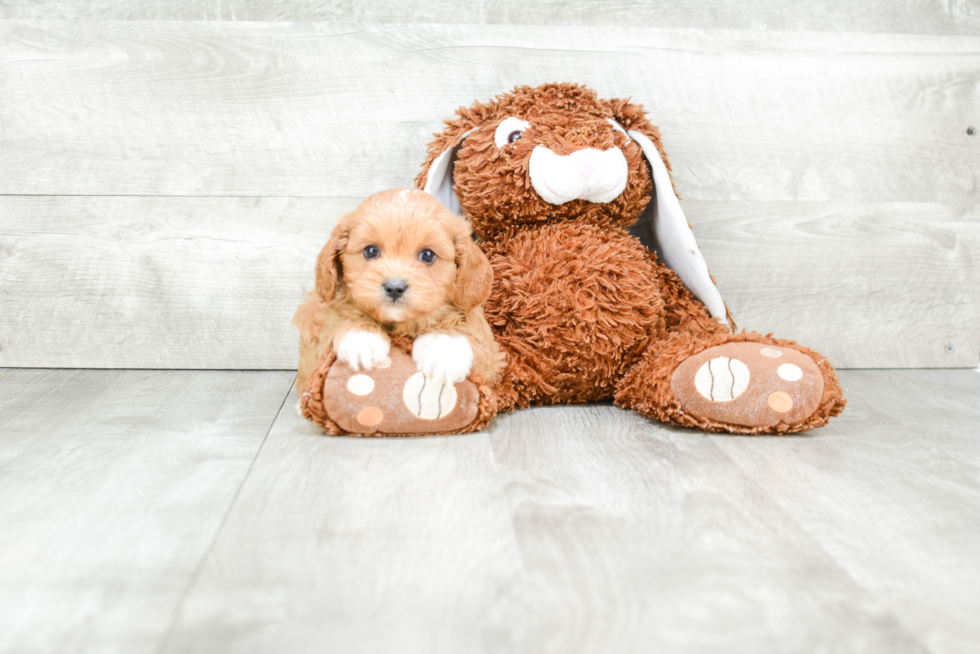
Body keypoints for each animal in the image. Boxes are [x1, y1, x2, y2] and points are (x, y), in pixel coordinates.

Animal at [292, 187, 502, 398]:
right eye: (370, 251)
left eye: (428, 255)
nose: (394, 287)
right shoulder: (318, 331)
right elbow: (339, 317)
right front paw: (361, 337)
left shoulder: (489, 352)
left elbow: (467, 328)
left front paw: (444, 350)